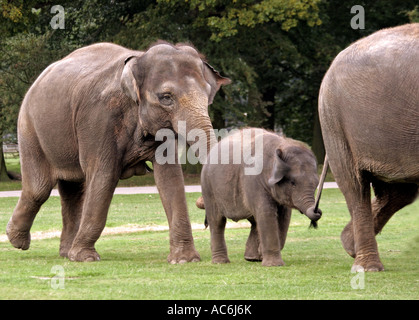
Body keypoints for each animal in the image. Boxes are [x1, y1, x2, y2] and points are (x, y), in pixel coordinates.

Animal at [5, 41, 230, 262]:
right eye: (166, 97)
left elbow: (170, 178)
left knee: (72, 190)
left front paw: (184, 260)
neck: (138, 57)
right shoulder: (98, 120)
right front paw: (85, 258)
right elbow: (104, 176)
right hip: (29, 128)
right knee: (39, 189)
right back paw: (18, 241)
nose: (202, 207)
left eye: (207, 96)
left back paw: (65, 253)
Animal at [199, 129, 324, 266]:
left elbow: (284, 217)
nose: (317, 211)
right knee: (217, 221)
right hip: (208, 186)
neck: (281, 146)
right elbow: (266, 212)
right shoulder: (253, 179)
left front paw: (261, 253)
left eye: (316, 183)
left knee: (254, 221)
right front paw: (273, 264)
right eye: (293, 182)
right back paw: (221, 262)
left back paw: (252, 258)